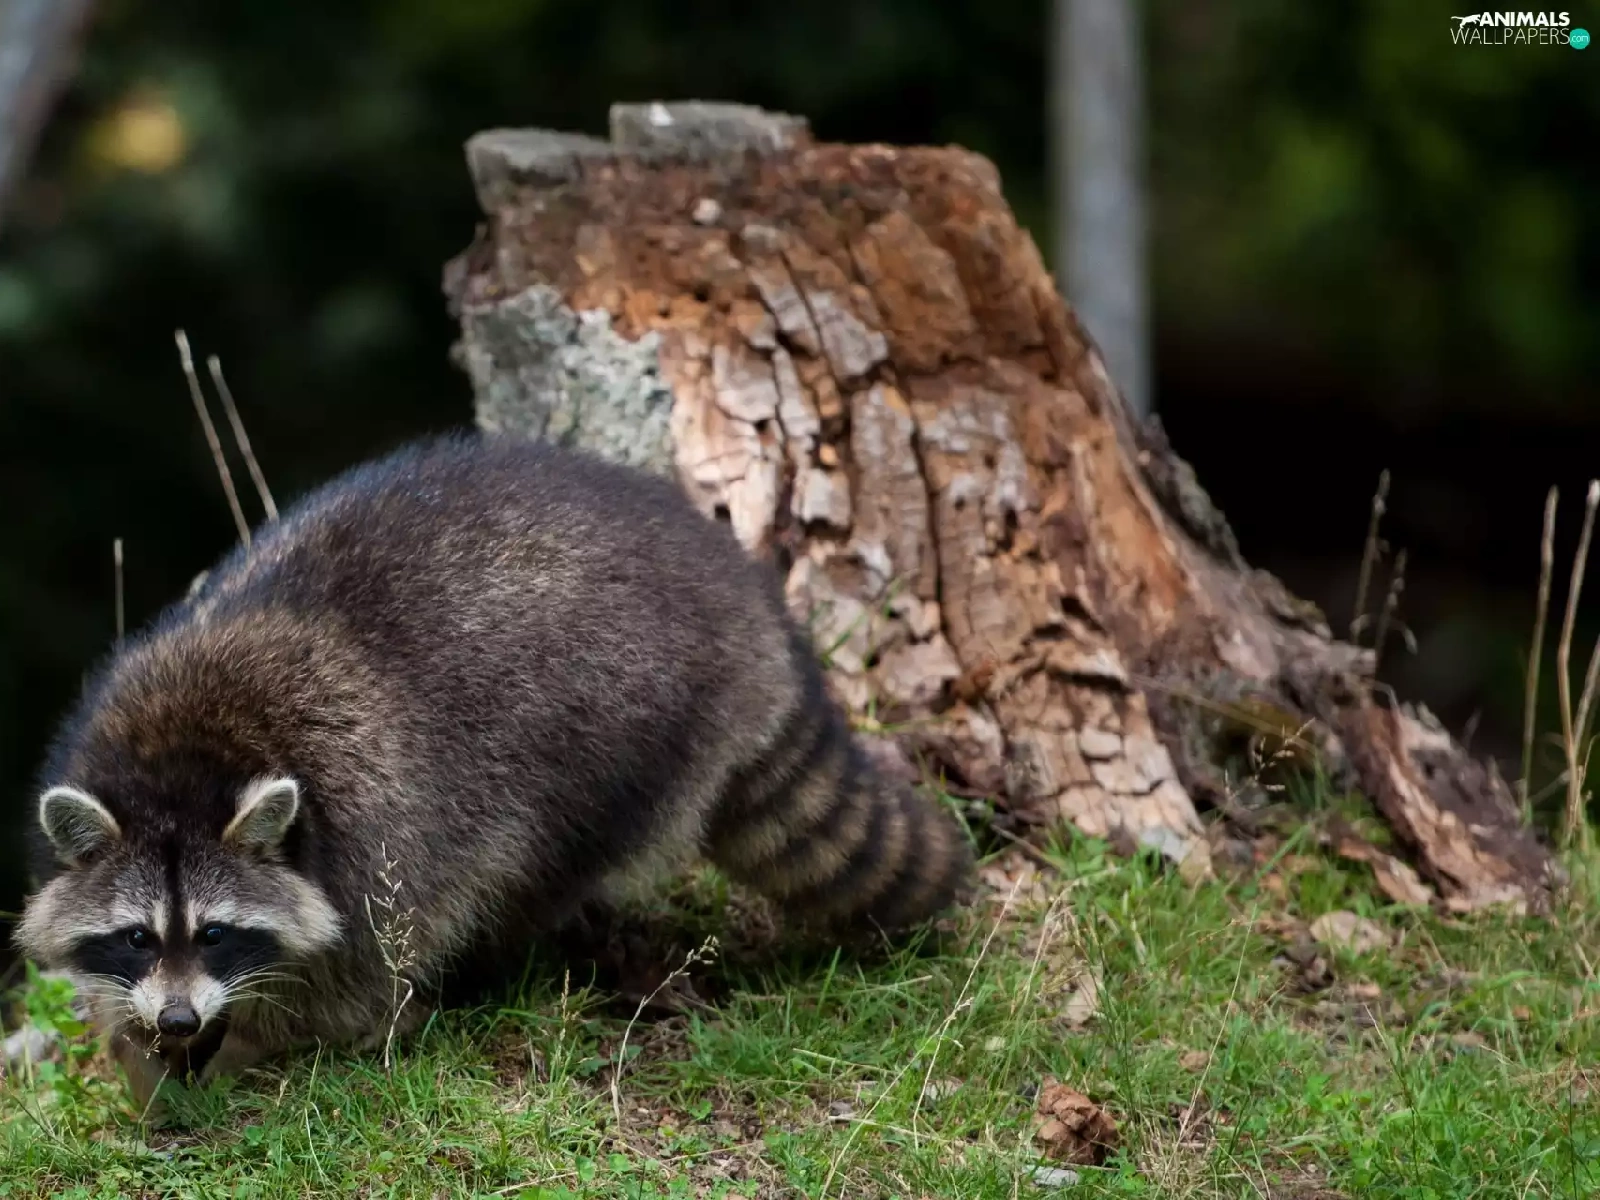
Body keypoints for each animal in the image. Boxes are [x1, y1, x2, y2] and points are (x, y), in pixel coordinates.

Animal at [13, 431, 973, 1107]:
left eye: (215, 933)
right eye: (138, 938)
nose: (180, 1016)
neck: (183, 762)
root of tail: (745, 606)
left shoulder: (375, 833)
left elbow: (353, 984)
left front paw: (247, 1051)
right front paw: (144, 1048)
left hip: (624, 733)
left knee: (525, 871)